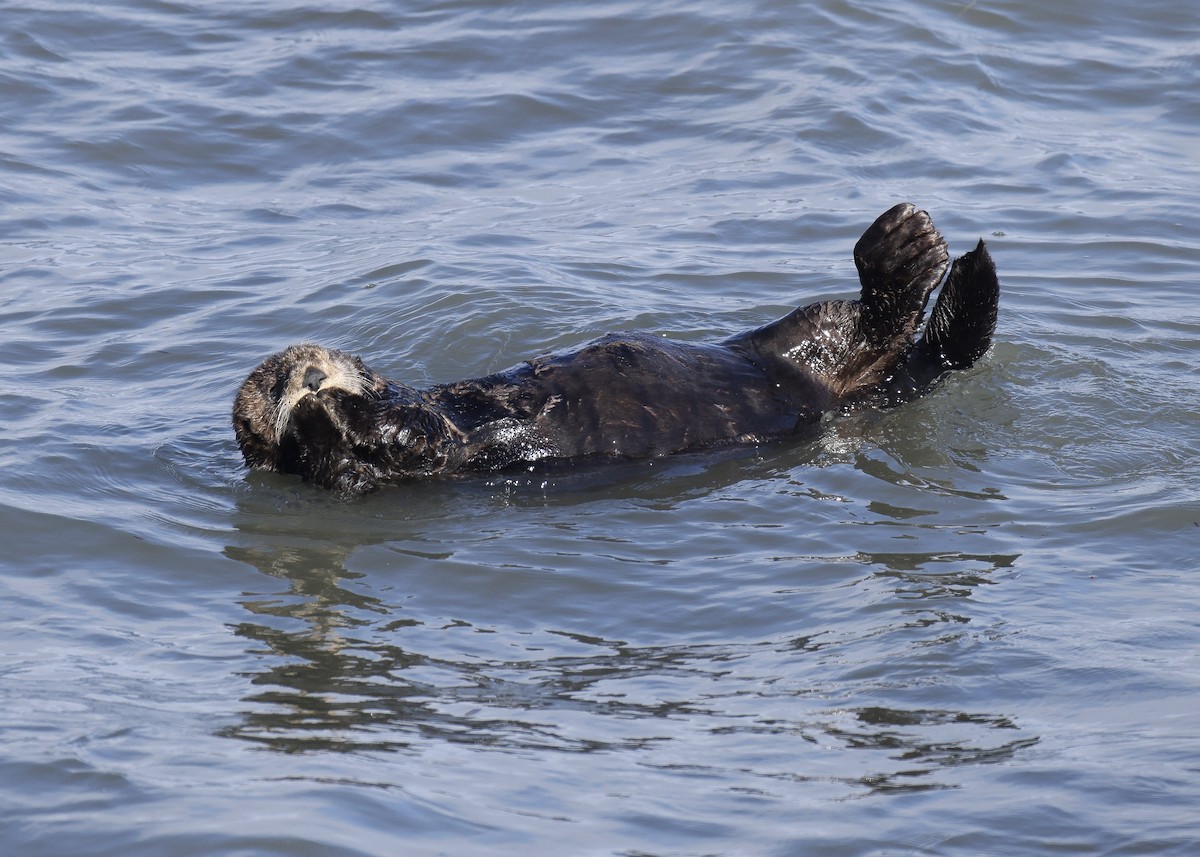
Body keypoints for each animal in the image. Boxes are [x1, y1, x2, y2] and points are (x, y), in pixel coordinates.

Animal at [233, 203, 999, 494]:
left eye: (304, 366)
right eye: (275, 387)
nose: (310, 376)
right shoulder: (415, 455)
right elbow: (389, 442)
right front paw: (320, 422)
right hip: (812, 357)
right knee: (883, 325)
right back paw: (908, 247)